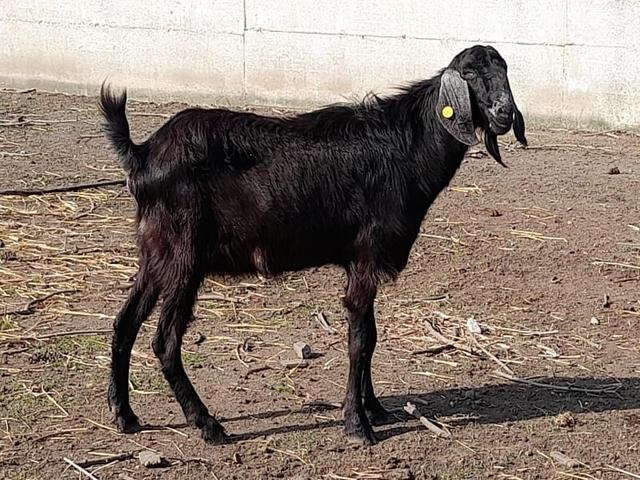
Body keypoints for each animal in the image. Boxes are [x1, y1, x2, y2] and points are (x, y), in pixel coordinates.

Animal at [100, 45, 527, 446]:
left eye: (505, 69)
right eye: (469, 73)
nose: (504, 113)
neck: (405, 147)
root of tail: (142, 155)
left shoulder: (359, 263)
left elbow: (370, 337)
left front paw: (375, 408)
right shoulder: (366, 256)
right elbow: (360, 340)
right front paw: (357, 424)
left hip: (156, 253)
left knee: (124, 322)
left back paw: (125, 415)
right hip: (183, 258)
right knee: (165, 341)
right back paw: (207, 424)